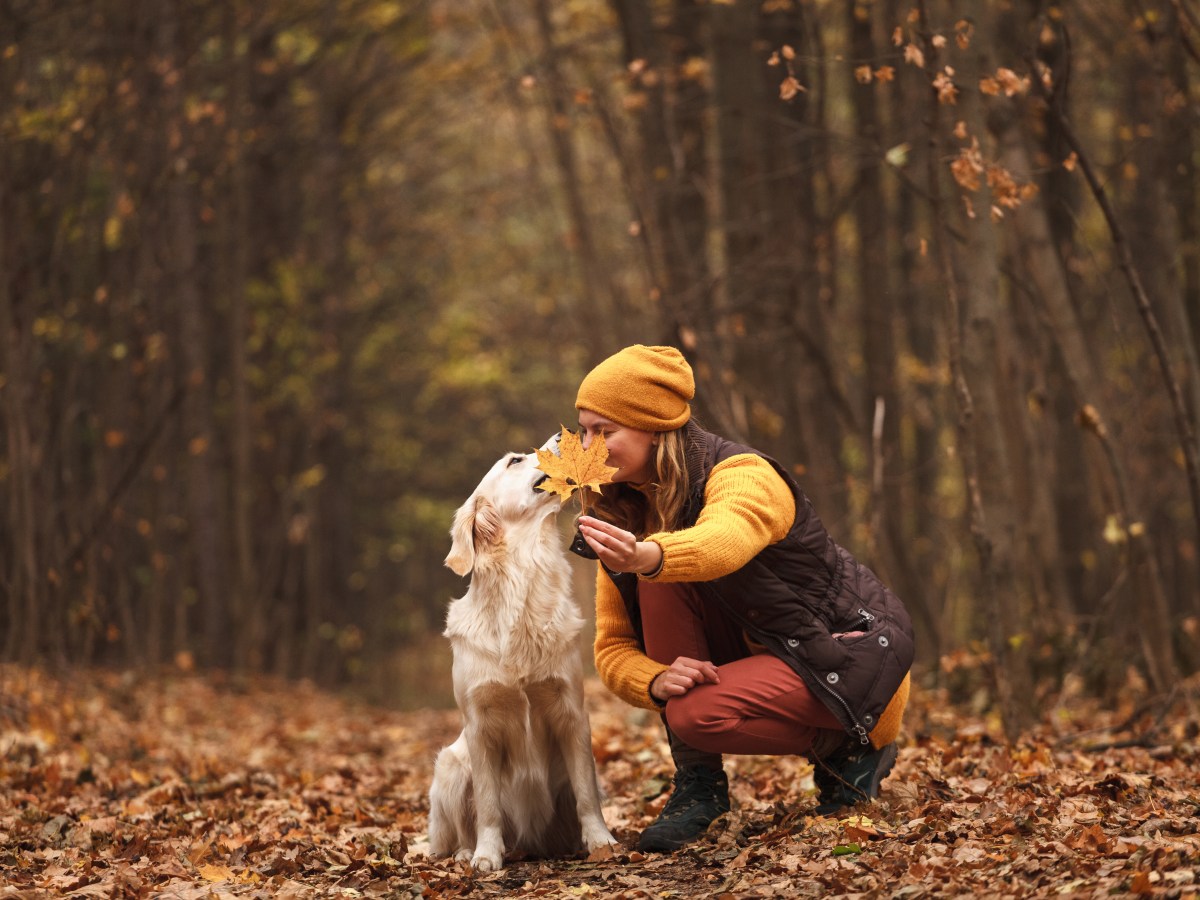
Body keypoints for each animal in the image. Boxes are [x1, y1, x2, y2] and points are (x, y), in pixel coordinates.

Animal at [427, 441, 614, 873]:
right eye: (515, 461)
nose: (563, 437)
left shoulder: (571, 711)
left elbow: (586, 792)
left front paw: (600, 840)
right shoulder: (478, 725)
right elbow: (488, 805)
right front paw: (486, 853)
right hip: (449, 766)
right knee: (457, 830)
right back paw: (466, 851)